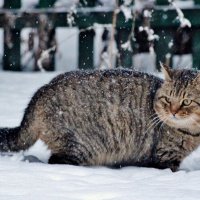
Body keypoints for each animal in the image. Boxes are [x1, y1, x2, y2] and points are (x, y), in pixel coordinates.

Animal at [0, 64, 200, 172]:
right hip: (78, 147)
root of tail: (41, 91)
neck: (191, 133)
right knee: (55, 162)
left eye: (186, 101)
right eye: (167, 99)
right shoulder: (164, 157)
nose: (173, 112)